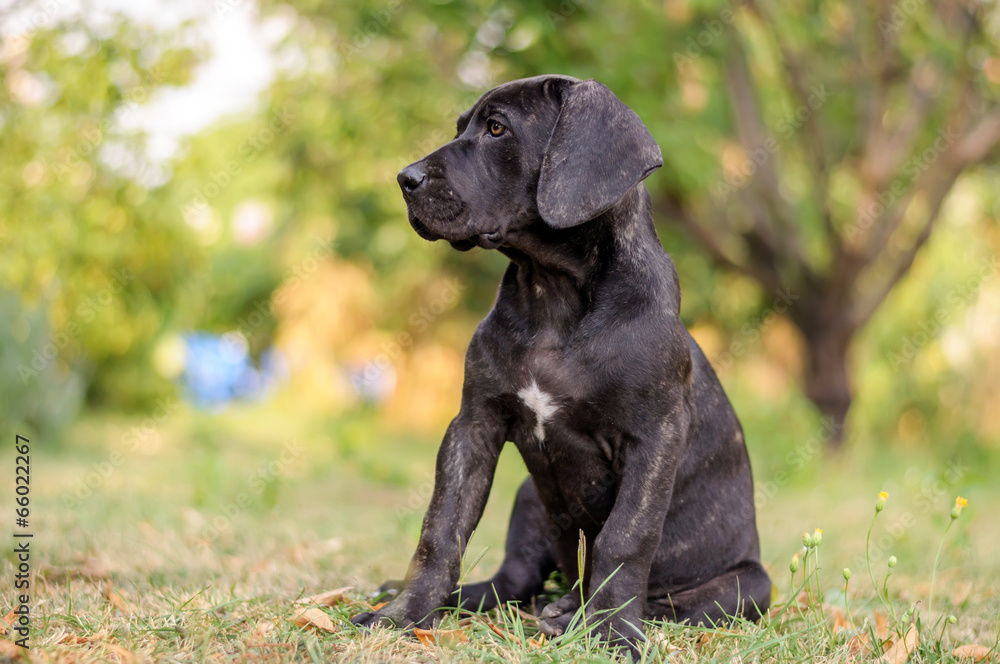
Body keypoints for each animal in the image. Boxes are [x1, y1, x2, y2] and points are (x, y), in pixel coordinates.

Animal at [354, 75, 772, 652]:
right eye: (460, 127)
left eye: (497, 128)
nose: (405, 179)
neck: (549, 292)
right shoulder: (474, 423)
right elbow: (442, 526)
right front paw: (405, 613)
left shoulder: (655, 436)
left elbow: (625, 538)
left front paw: (614, 634)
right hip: (531, 495)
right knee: (515, 581)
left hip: (751, 584)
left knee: (666, 603)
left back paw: (574, 615)